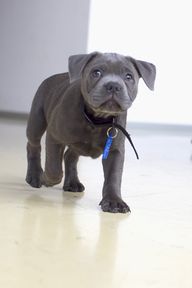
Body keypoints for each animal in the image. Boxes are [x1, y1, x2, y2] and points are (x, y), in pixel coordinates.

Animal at [25, 52, 156, 214]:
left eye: (128, 76)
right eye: (96, 73)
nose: (113, 85)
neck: (97, 119)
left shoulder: (114, 150)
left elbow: (113, 177)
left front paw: (114, 201)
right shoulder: (54, 136)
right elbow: (54, 168)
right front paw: (46, 178)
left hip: (77, 145)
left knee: (69, 156)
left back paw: (72, 182)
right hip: (36, 122)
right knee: (33, 146)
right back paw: (35, 175)